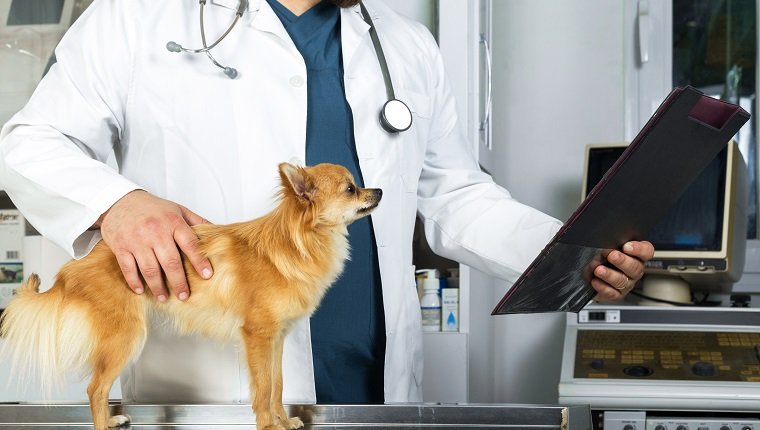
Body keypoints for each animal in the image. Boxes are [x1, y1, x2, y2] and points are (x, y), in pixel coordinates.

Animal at [0, 163, 380, 430]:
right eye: (350, 189)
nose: (376, 189)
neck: (299, 243)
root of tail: (74, 266)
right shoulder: (258, 337)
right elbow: (261, 390)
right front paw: (268, 425)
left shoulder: (276, 339)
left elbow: (276, 386)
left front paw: (283, 421)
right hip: (126, 336)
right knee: (95, 389)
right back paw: (102, 423)